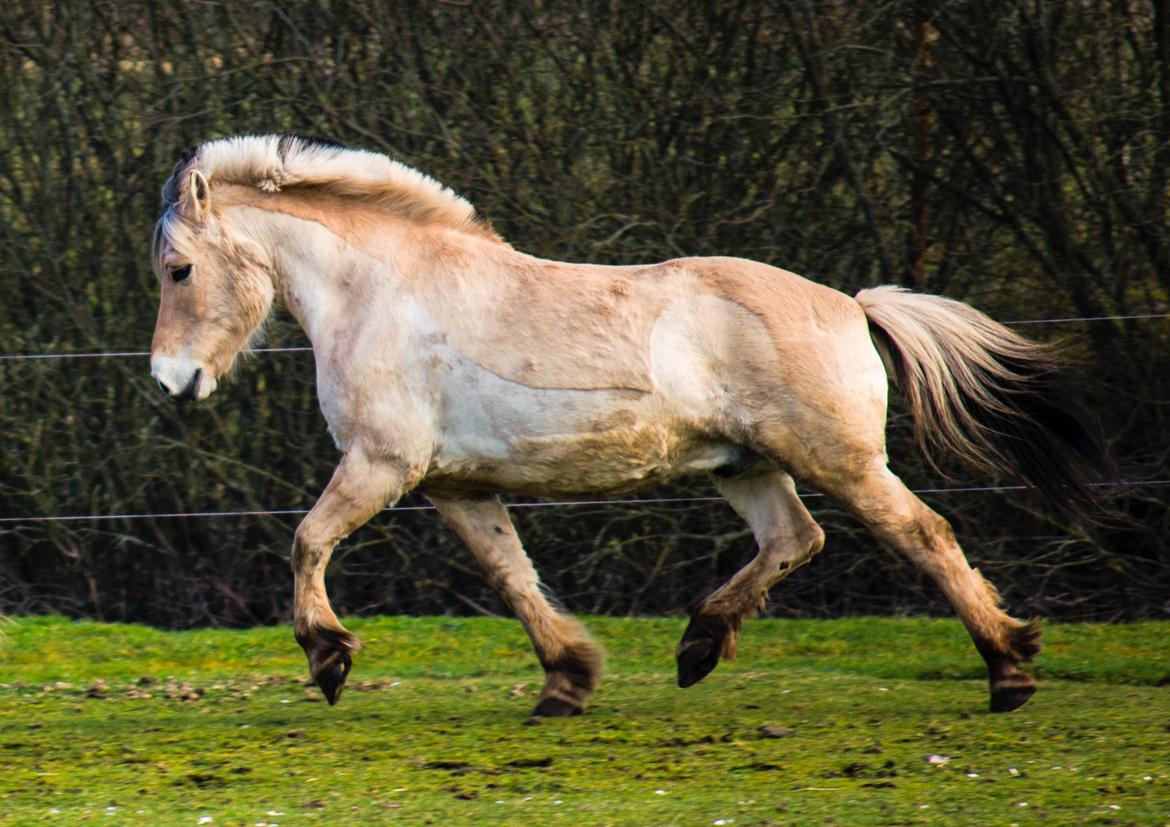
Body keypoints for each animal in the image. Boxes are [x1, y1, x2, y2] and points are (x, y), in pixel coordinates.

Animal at [148, 132, 1113, 715]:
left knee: (924, 533)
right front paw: (567, 681)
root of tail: (851, 303)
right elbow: (512, 577)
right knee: (794, 539)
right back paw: (698, 645)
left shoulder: (381, 466)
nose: (171, 380)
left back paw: (1009, 666)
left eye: (179, 269)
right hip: (745, 466)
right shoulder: (456, 486)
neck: (386, 294)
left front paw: (329, 659)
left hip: (840, 460)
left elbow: (307, 540)